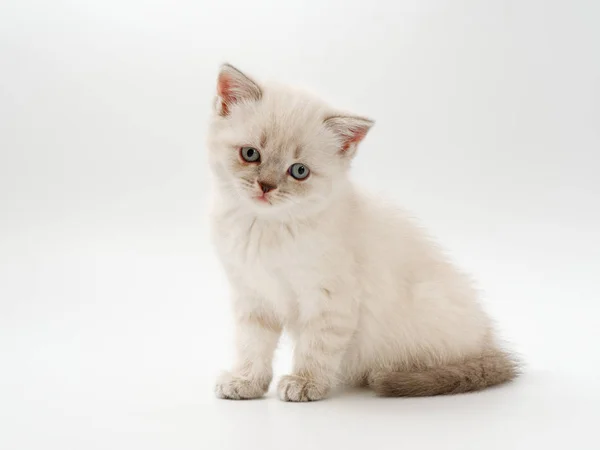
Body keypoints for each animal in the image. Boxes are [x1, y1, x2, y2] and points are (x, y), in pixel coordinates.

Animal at [205, 62, 516, 400]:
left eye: (299, 171)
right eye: (250, 154)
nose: (266, 186)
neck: (266, 226)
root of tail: (489, 342)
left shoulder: (331, 299)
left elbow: (315, 347)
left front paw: (305, 383)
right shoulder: (253, 295)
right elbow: (252, 346)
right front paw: (245, 382)